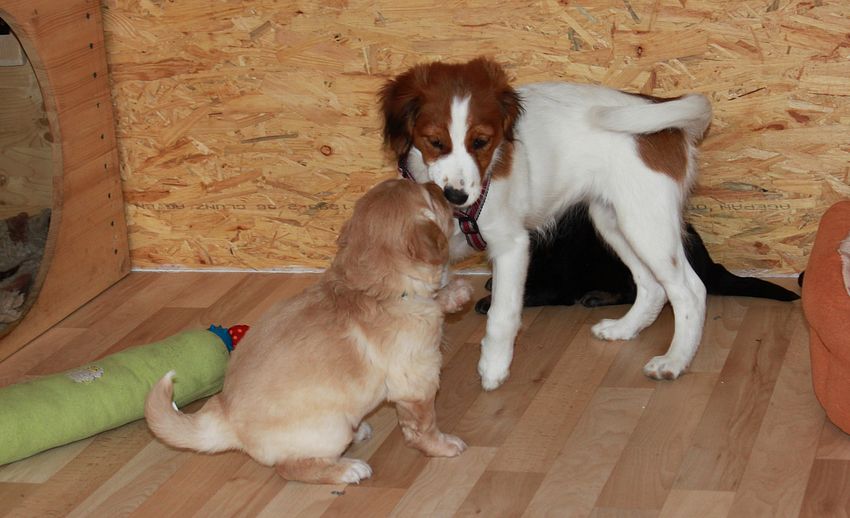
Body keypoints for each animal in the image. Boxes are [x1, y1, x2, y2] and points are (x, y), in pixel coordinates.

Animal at [145, 179, 471, 484]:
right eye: (430, 197)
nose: (439, 187)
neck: (372, 289)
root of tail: (224, 416)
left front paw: (456, 293)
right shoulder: (418, 382)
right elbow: (424, 425)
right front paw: (443, 446)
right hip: (332, 427)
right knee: (291, 467)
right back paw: (348, 469)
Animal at [380, 57, 713, 389]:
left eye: (481, 142)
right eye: (435, 142)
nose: (456, 195)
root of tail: (658, 107)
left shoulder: (512, 246)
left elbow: (502, 314)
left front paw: (493, 368)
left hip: (646, 224)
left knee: (691, 292)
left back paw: (674, 361)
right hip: (614, 221)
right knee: (652, 286)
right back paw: (624, 329)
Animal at [474, 203, 800, 313]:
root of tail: (710, 265)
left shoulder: (556, 288)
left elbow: (526, 293)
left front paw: (489, 302)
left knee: (639, 292)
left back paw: (599, 296)